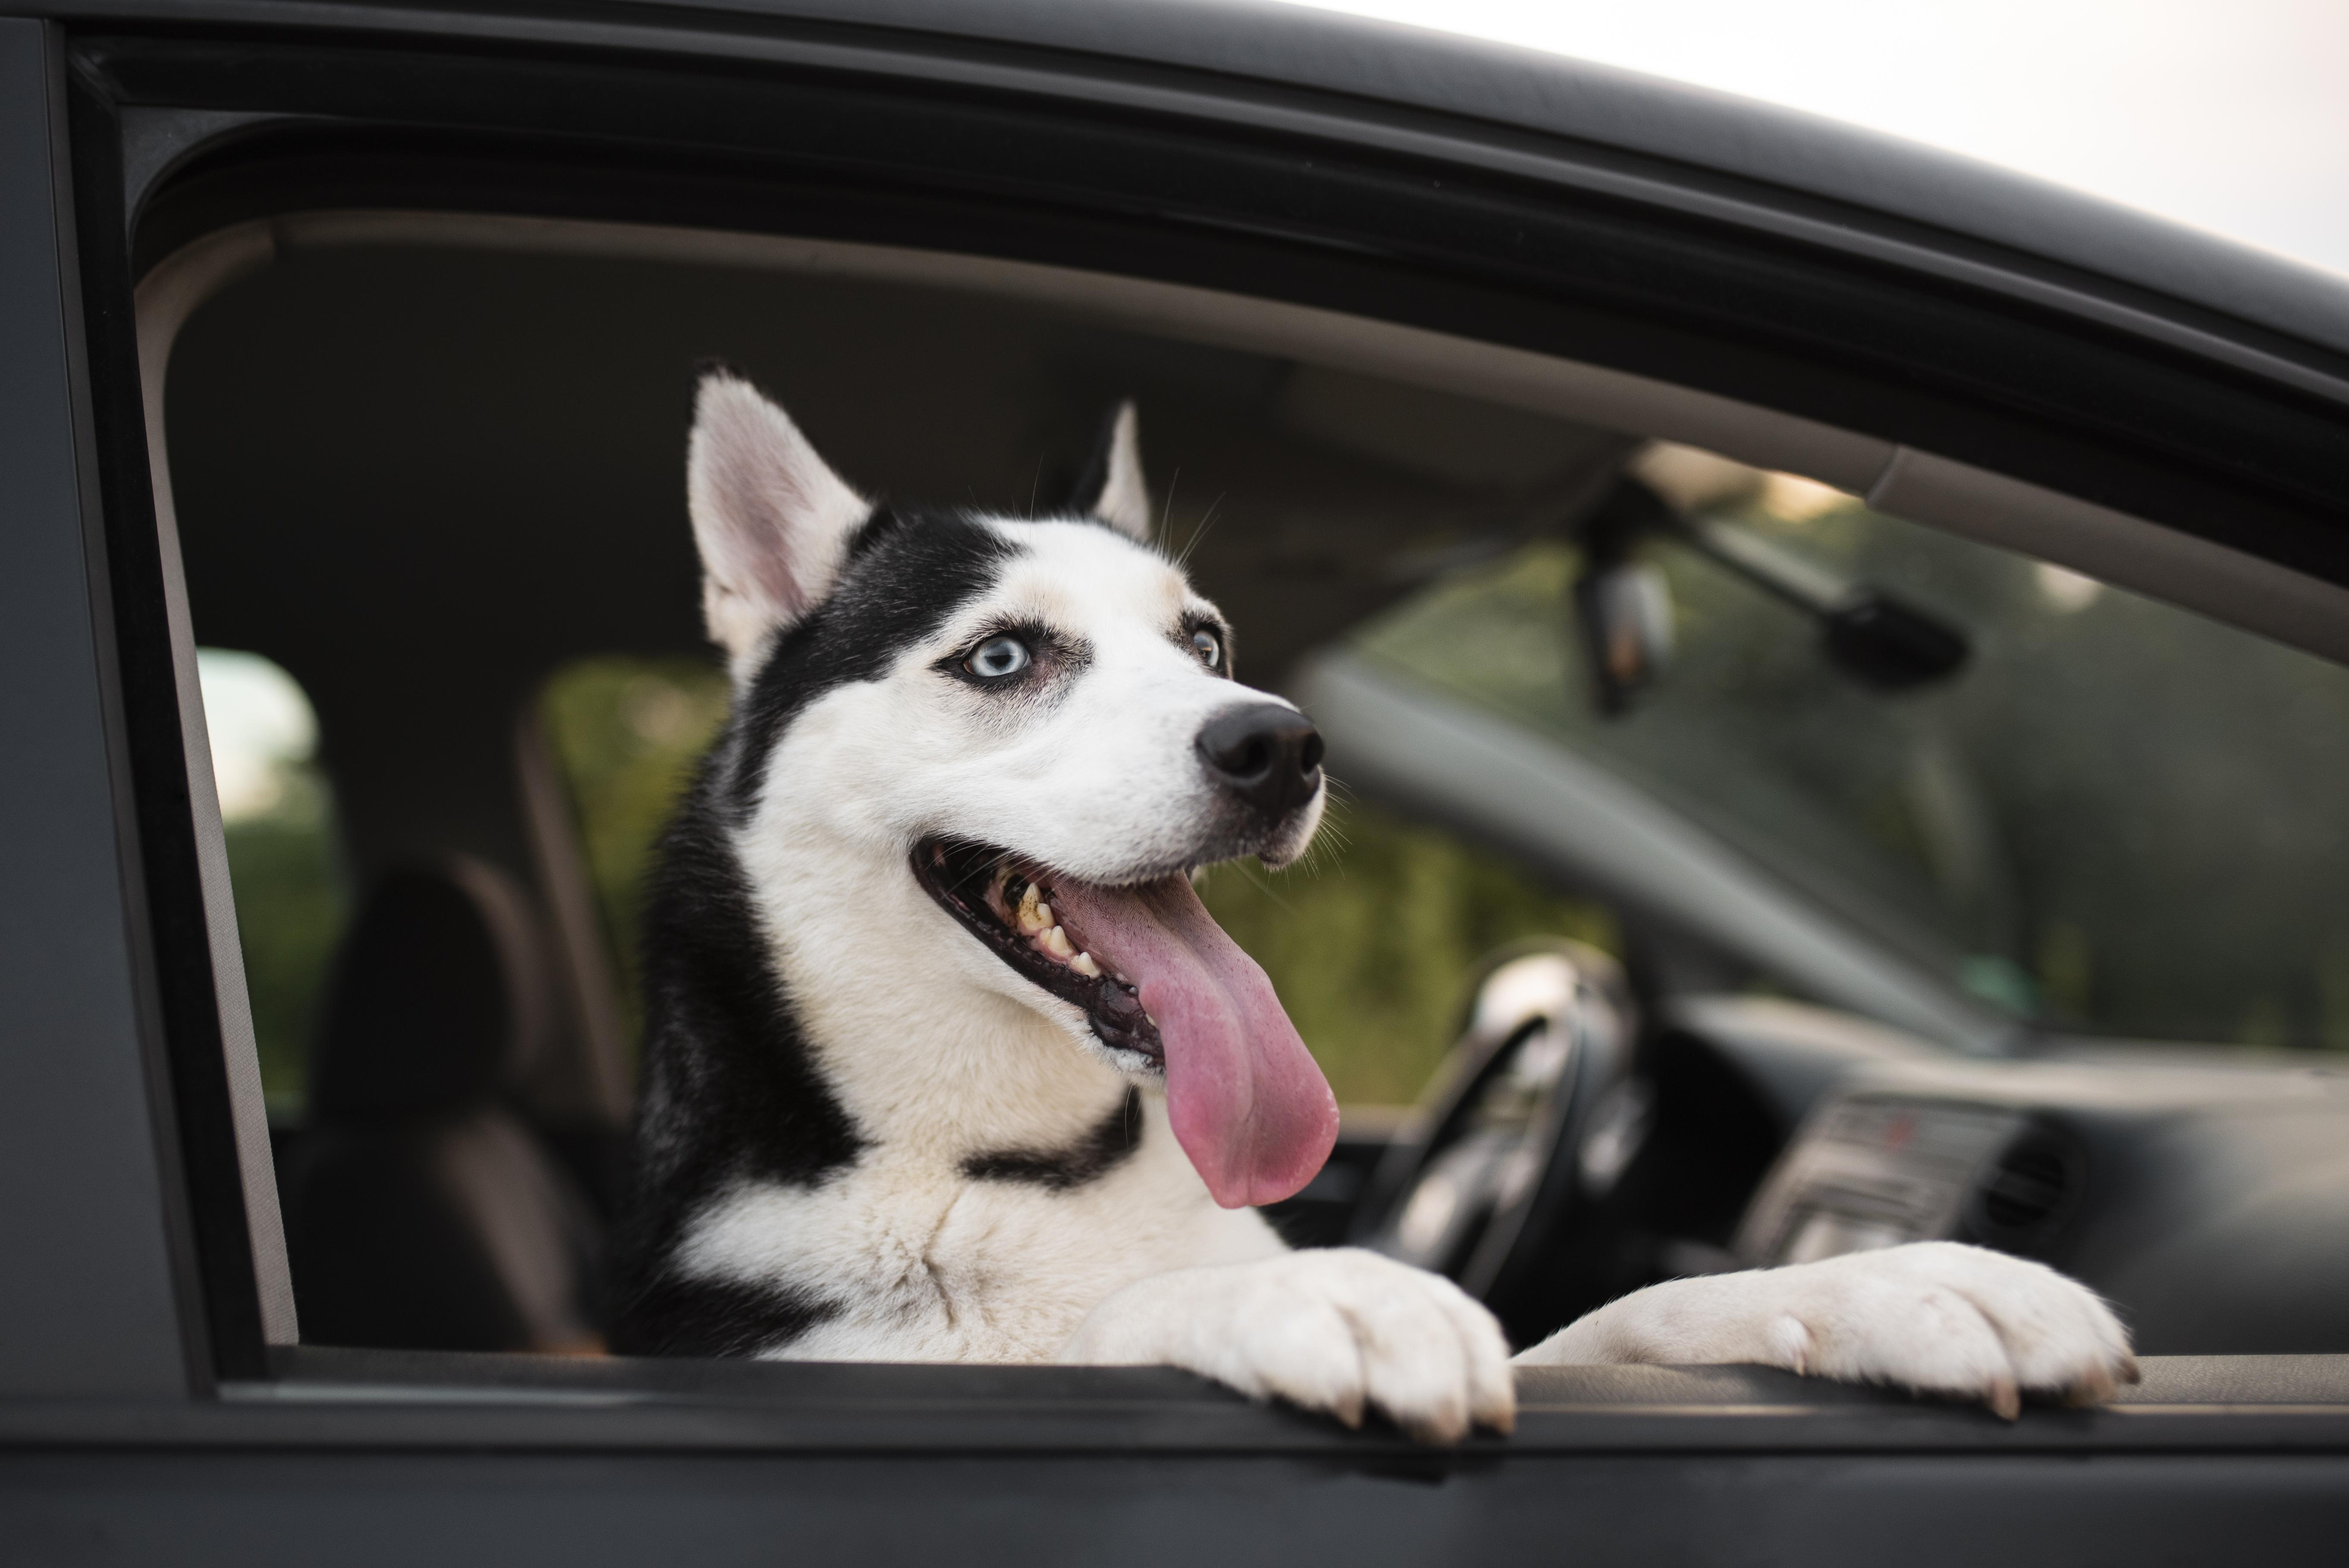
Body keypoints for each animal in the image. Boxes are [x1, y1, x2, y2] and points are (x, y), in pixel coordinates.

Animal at [615, 374, 2142, 1439]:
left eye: (1206, 640)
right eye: (1000, 656)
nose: (1277, 742)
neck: (1027, 1165)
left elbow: (1632, 1309)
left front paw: (1899, 1283)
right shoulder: (828, 1359)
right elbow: (1113, 1324)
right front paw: (1310, 1289)